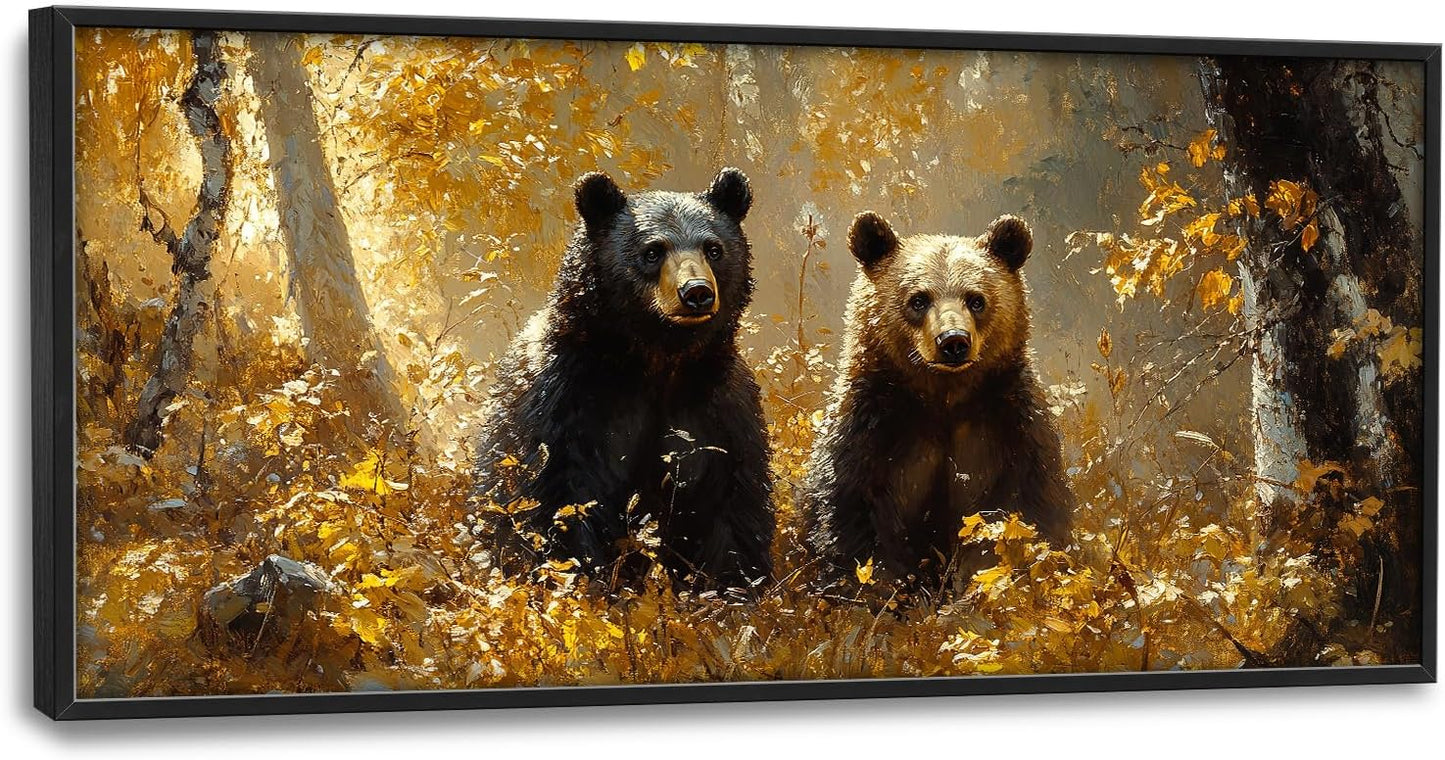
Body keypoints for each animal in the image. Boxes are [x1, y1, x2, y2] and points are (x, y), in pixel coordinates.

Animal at [472, 168, 773, 592]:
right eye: (653, 251)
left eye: (713, 249)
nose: (697, 293)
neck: (656, 360)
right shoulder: (566, 403)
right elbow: (557, 499)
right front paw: (583, 582)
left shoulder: (718, 409)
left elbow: (732, 502)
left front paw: (733, 587)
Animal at [801, 211, 1073, 592]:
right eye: (918, 299)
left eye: (976, 299)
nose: (953, 341)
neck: (944, 398)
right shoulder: (871, 431)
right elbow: (853, 521)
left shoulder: (1012, 430)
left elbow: (1027, 514)